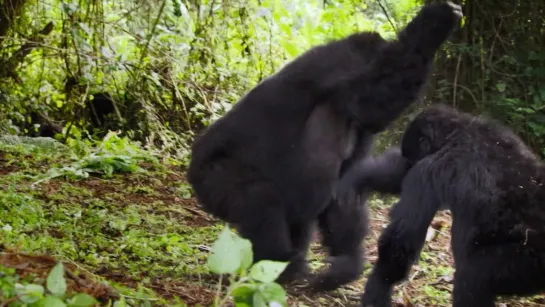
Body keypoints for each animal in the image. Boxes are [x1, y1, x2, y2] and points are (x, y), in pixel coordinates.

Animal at [186, 1, 460, 292]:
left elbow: (344, 189)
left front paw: (346, 264)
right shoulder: (342, 67)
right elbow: (381, 88)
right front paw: (434, 25)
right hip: (209, 178)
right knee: (258, 199)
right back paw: (276, 266)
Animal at [336, 104, 544, 306]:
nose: (411, 161)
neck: (459, 132)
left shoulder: (429, 169)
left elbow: (401, 239)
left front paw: (377, 288)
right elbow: (398, 175)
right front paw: (358, 177)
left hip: (523, 262)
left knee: (472, 278)